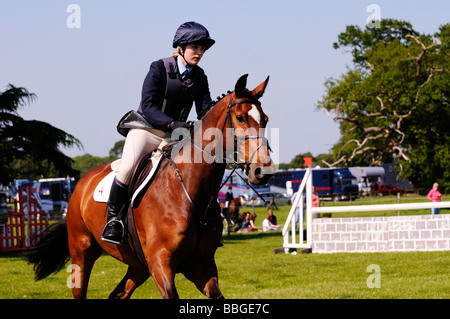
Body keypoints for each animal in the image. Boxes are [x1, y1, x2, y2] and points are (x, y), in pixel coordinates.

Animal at [25, 75, 274, 300]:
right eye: (240, 118)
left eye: (265, 119)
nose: (262, 171)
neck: (189, 192)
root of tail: (82, 181)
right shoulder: (160, 263)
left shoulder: (202, 267)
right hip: (82, 251)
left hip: (138, 264)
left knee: (118, 294)